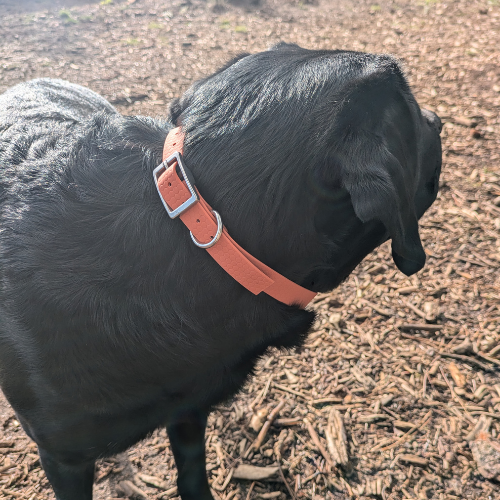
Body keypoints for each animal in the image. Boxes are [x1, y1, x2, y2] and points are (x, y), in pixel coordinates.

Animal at [0, 43, 442, 500]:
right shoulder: (63, 456)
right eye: (413, 111)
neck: (196, 226)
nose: (437, 119)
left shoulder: (189, 409)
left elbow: (192, 471)